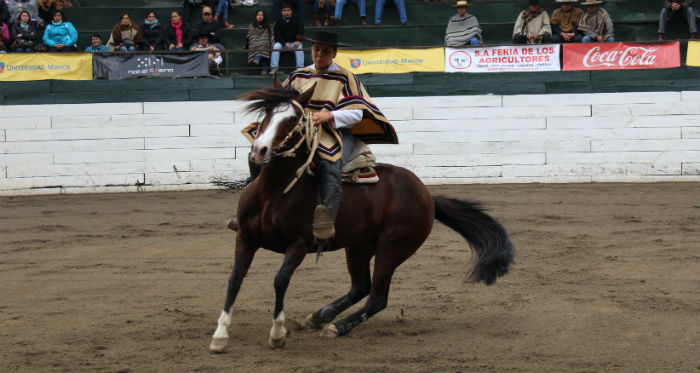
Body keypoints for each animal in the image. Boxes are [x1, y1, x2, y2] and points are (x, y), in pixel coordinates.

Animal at [208, 81, 516, 352]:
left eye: (293, 118)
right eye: (266, 113)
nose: (259, 150)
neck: (273, 193)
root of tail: (428, 196)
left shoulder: (298, 246)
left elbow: (280, 280)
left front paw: (277, 335)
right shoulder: (245, 237)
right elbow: (235, 279)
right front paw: (220, 335)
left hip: (392, 249)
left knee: (377, 297)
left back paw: (337, 326)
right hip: (358, 246)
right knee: (360, 286)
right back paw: (318, 317)